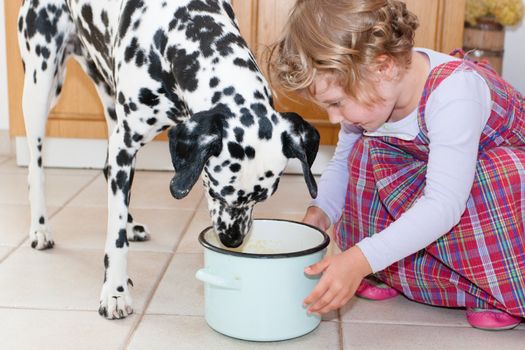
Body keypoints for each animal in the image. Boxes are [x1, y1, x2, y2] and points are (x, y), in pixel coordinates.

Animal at [18, 0, 320, 318]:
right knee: (36, 168)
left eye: (261, 199)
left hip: (109, 99)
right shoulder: (125, 145)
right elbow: (115, 238)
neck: (176, 30)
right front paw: (115, 291)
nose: (232, 240)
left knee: (107, 170)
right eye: (215, 191)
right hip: (40, 86)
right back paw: (40, 227)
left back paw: (130, 224)